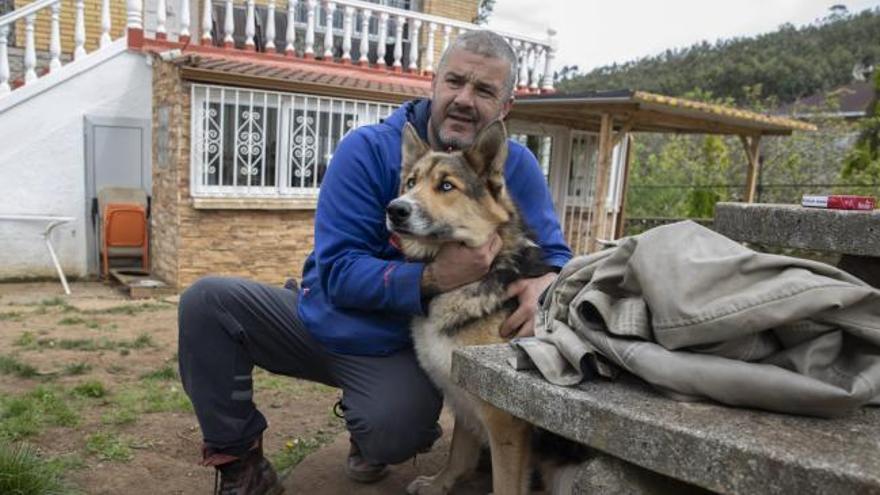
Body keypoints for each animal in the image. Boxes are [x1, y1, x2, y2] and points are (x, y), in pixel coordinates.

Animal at [386, 121, 584, 495]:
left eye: (446, 186)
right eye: (410, 182)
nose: (395, 209)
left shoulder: (504, 421)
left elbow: (505, 483)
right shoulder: (465, 393)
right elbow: (458, 453)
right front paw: (439, 484)